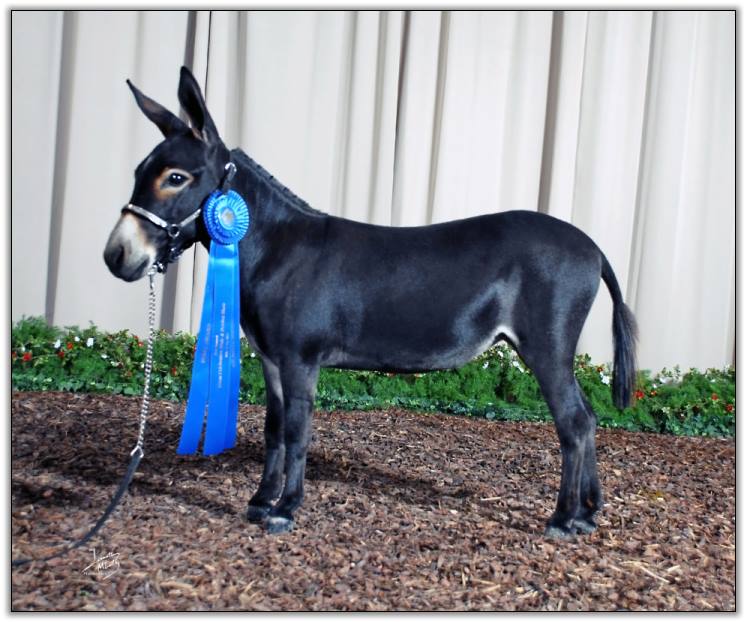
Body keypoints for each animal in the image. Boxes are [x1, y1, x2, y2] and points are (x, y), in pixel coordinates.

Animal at [104, 66, 637, 538]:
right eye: (137, 172)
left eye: (176, 177)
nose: (116, 256)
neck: (280, 250)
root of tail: (593, 247)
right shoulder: (271, 360)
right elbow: (274, 431)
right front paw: (260, 501)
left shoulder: (299, 361)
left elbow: (298, 432)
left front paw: (286, 508)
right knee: (588, 418)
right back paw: (588, 513)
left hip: (546, 346)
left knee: (573, 423)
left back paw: (563, 519)